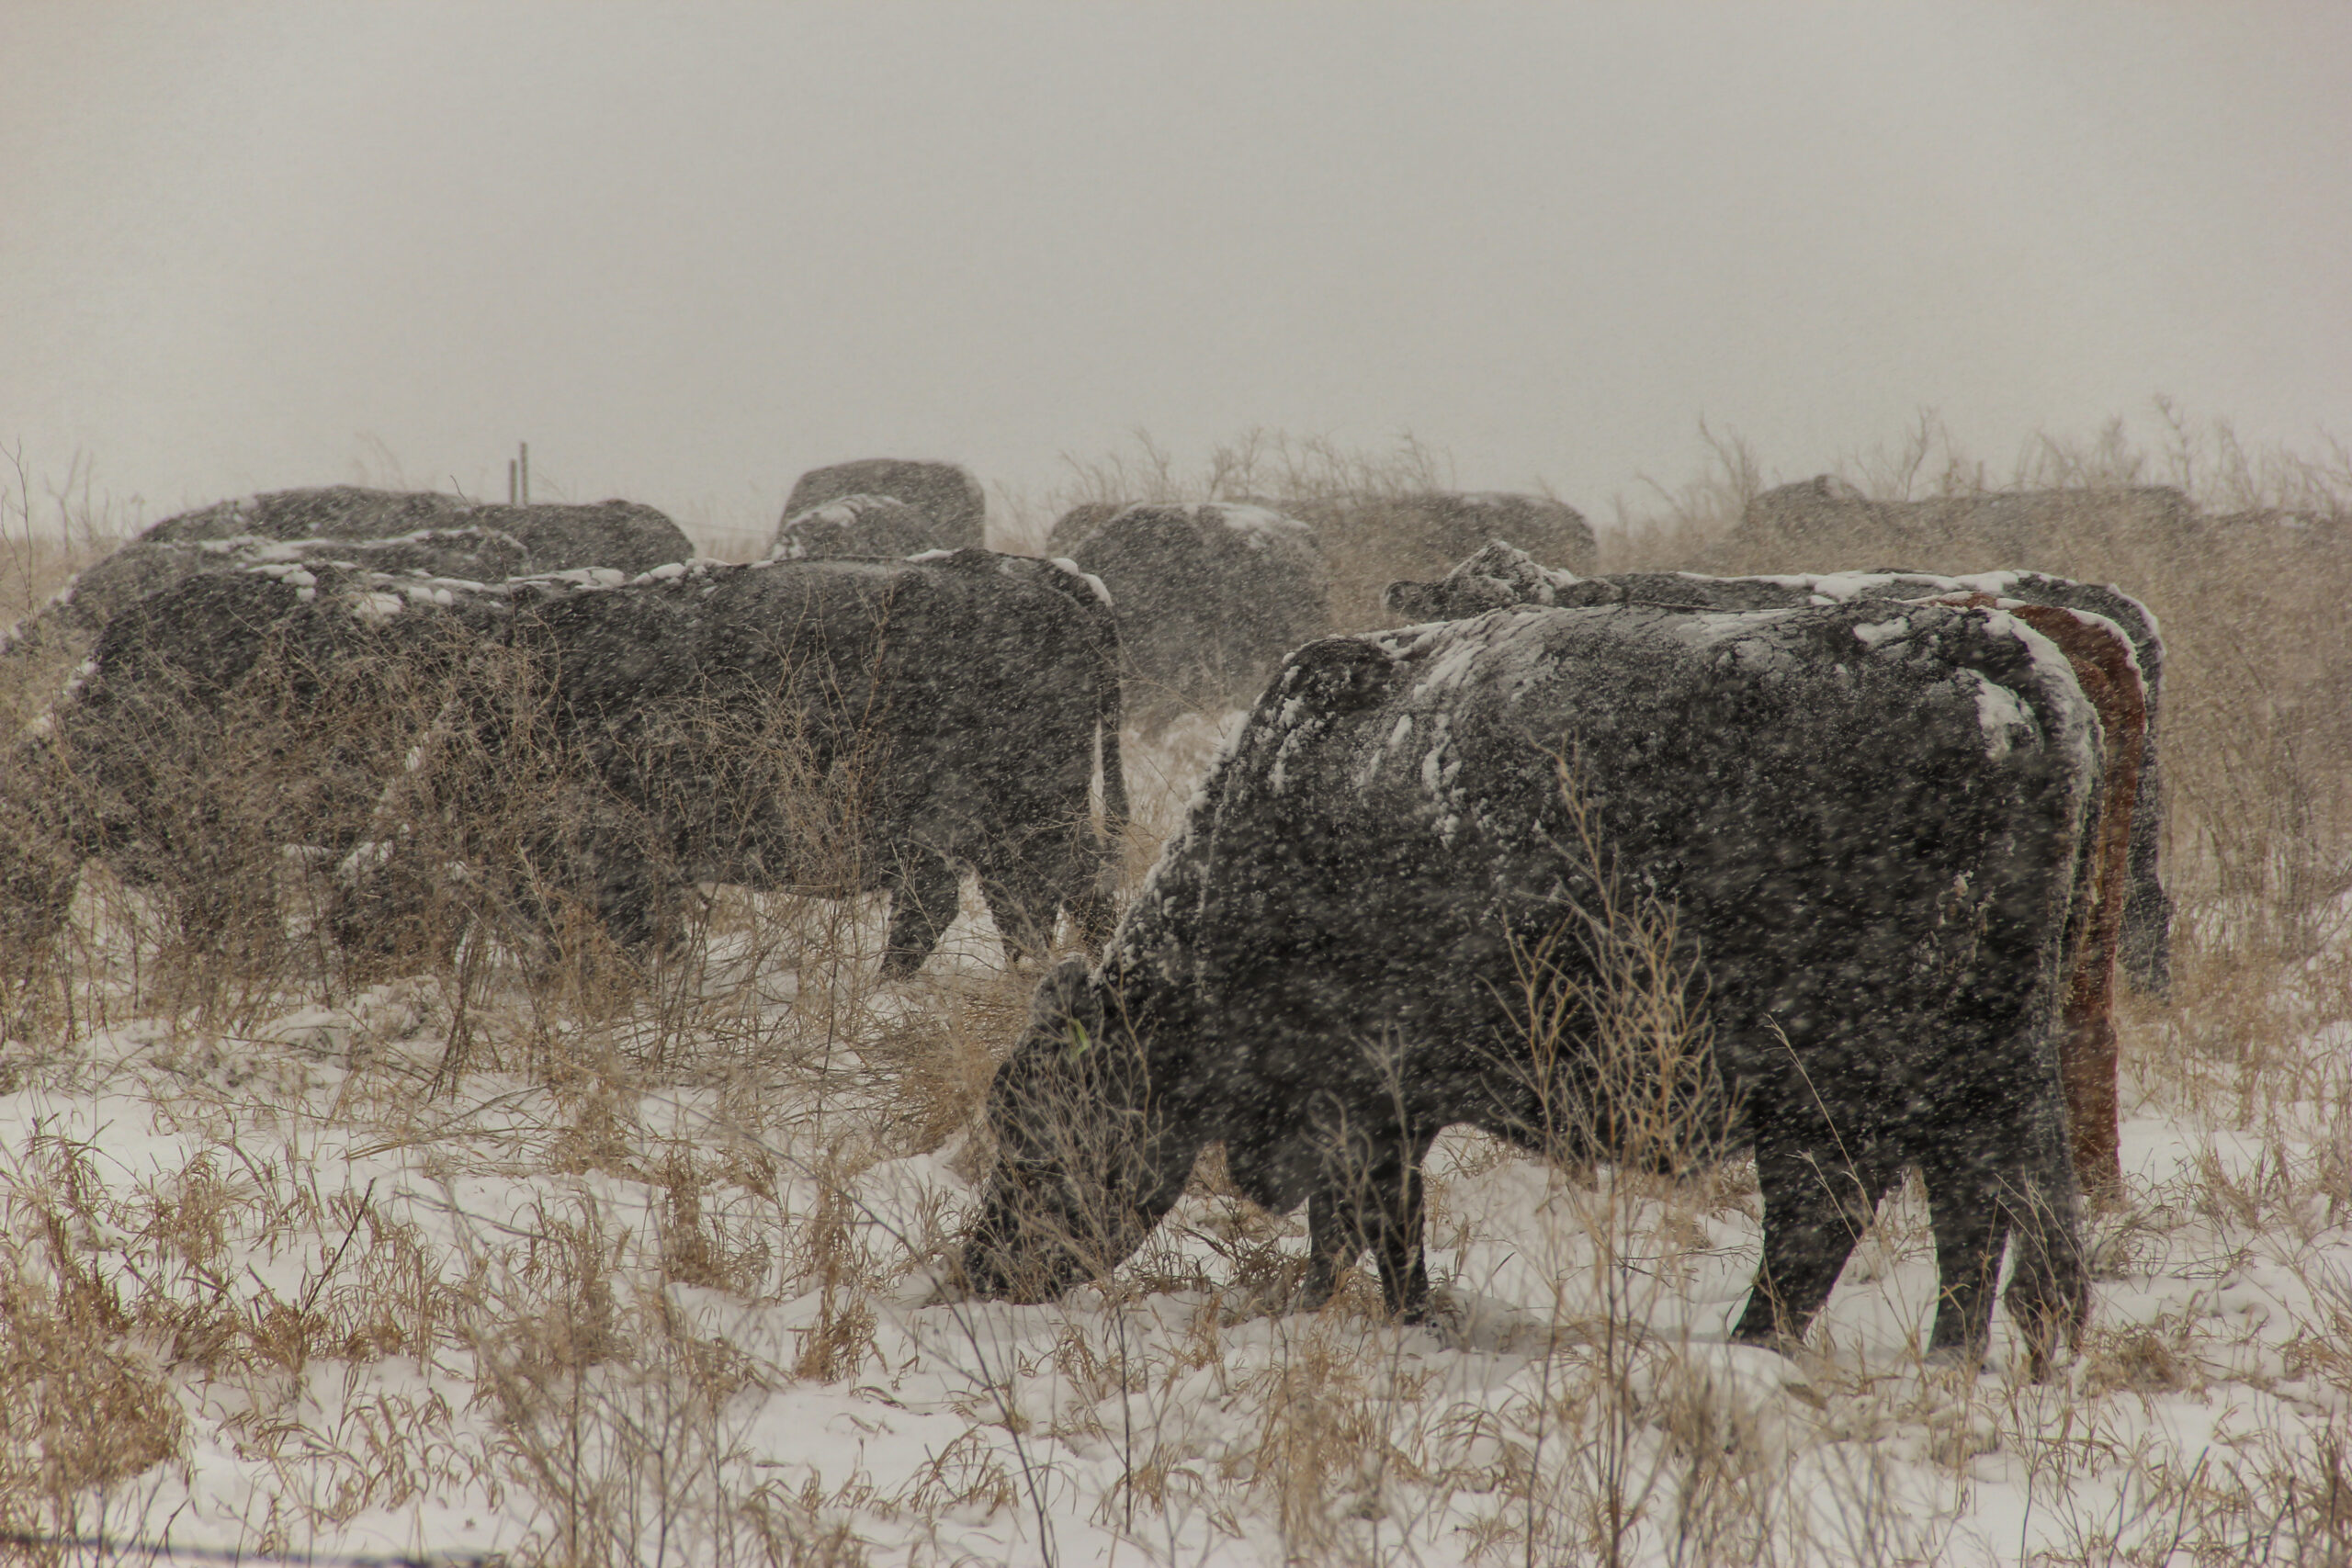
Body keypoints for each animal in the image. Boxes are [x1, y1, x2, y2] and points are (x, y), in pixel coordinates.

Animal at [964, 602, 2107, 1372]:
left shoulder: (1362, 1100)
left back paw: (1756, 1348)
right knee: (1988, 1208)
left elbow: (1367, 1228)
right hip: (1977, 1067)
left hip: (1839, 1082)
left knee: (1834, 1218)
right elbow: (1377, 1231)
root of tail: (1987, 649)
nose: (977, 1269)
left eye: (1030, 1118)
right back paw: (1970, 1353)